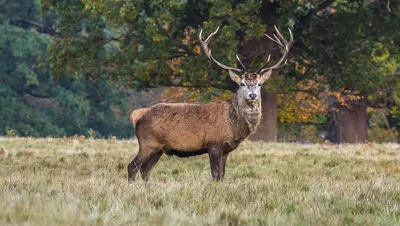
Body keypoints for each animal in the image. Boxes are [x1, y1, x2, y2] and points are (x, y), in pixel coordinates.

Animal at [129, 25, 294, 182]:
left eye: (259, 84)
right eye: (241, 84)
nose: (252, 95)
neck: (233, 124)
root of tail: (138, 116)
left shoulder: (226, 149)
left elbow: (222, 175)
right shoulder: (213, 144)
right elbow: (215, 175)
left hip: (159, 149)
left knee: (145, 170)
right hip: (148, 143)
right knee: (132, 167)